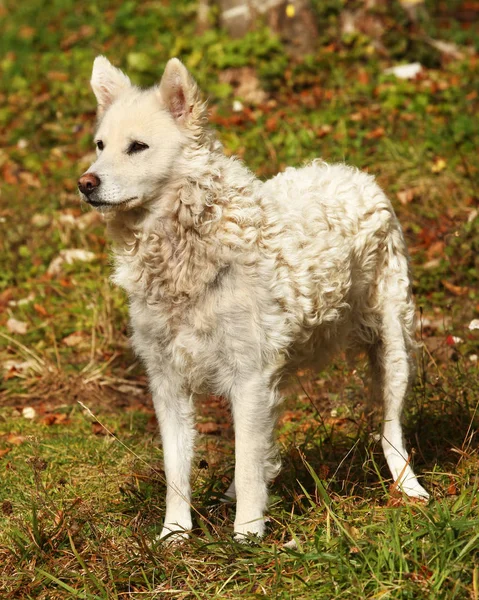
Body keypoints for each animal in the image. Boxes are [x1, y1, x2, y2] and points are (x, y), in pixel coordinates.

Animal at [79, 58, 432, 540]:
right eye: (100, 145)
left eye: (137, 147)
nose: (85, 183)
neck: (186, 250)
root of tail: (353, 173)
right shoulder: (168, 380)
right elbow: (177, 468)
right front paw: (175, 534)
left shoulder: (248, 376)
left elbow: (246, 464)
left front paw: (247, 534)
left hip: (393, 346)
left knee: (391, 428)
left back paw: (407, 486)